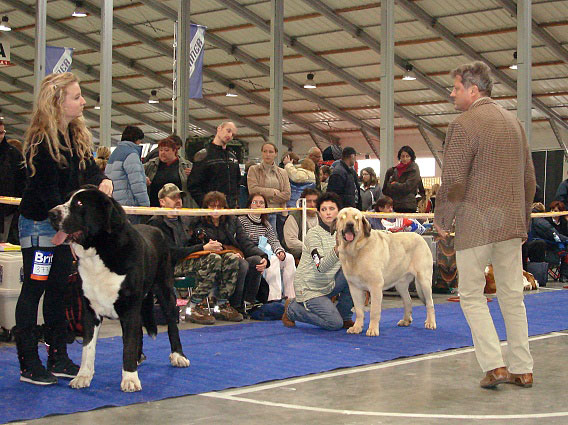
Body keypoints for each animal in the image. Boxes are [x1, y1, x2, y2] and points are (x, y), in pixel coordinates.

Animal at [49, 189, 191, 390]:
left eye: (79, 203)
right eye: (68, 199)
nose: (51, 213)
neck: (99, 252)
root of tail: (156, 230)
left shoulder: (129, 307)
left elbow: (128, 344)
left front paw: (130, 378)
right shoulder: (89, 310)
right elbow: (88, 346)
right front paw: (83, 376)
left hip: (164, 289)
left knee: (172, 323)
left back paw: (178, 356)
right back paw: (139, 357)